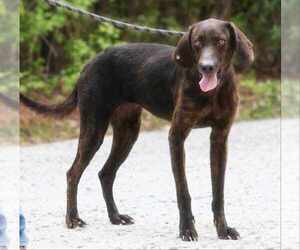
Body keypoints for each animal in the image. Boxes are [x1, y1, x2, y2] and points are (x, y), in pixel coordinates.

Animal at [20, 18, 253, 241]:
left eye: (220, 42)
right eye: (197, 43)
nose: (207, 67)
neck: (212, 92)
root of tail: (89, 64)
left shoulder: (220, 138)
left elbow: (218, 192)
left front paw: (223, 230)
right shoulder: (177, 136)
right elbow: (183, 191)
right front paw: (186, 229)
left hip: (128, 132)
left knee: (105, 173)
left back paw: (115, 217)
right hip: (94, 130)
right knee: (73, 173)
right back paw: (72, 218)